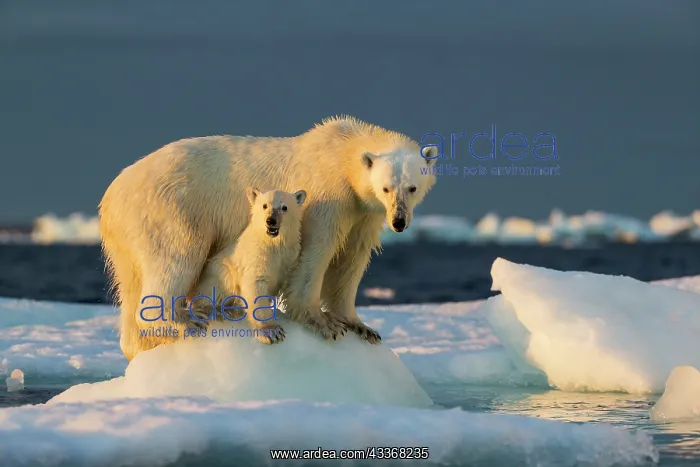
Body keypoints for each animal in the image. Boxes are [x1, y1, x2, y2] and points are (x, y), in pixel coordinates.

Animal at [184, 187, 307, 345]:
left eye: (284, 207)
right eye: (264, 205)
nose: (271, 221)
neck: (272, 243)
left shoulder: (288, 257)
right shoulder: (255, 256)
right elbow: (255, 285)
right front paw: (271, 331)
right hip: (219, 272)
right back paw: (221, 310)